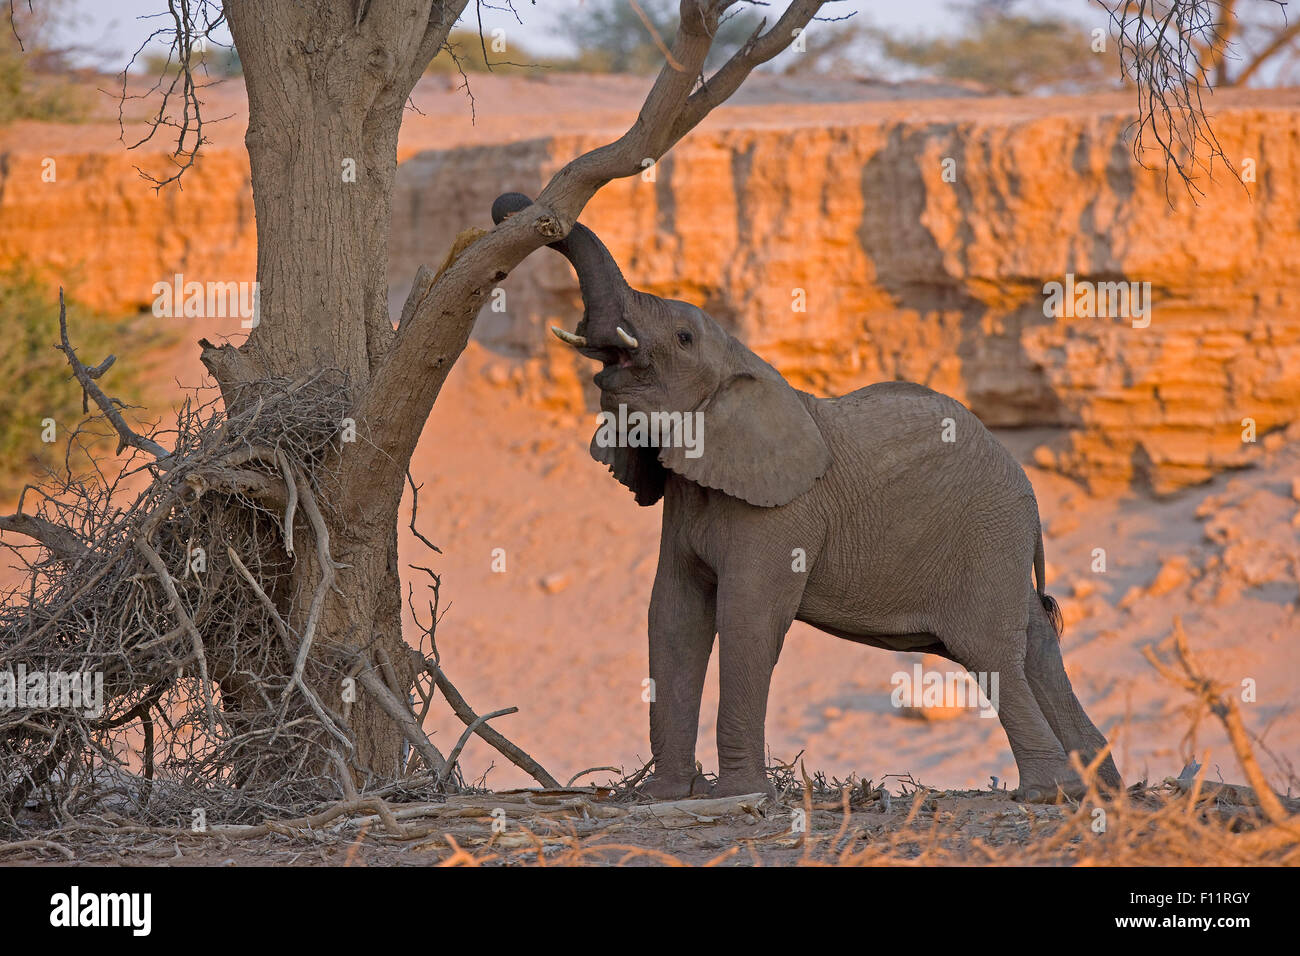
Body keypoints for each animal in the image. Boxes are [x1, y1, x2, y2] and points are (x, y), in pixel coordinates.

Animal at [492, 193, 1122, 803]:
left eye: (683, 339)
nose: (519, 213)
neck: (744, 363)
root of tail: (1030, 496)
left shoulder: (781, 514)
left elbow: (746, 616)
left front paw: (739, 795)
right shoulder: (688, 497)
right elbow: (672, 614)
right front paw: (665, 796)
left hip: (985, 535)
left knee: (989, 651)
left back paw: (1048, 794)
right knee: (1036, 645)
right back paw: (1098, 789)